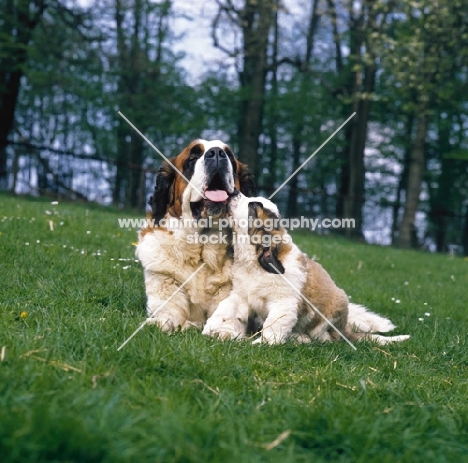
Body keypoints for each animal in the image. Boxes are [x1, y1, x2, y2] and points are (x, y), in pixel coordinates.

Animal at [135, 140, 256, 332]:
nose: (217, 153)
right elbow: (168, 314)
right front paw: (159, 323)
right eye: (192, 158)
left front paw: (223, 329)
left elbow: (229, 312)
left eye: (229, 156)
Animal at [203, 194, 412, 346]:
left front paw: (260, 344)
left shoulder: (284, 304)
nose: (233, 193)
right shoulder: (241, 295)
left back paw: (304, 339)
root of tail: (346, 329)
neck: (253, 263)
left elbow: (273, 325)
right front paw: (210, 326)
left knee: (327, 338)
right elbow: (226, 307)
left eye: (253, 205)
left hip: (336, 305)